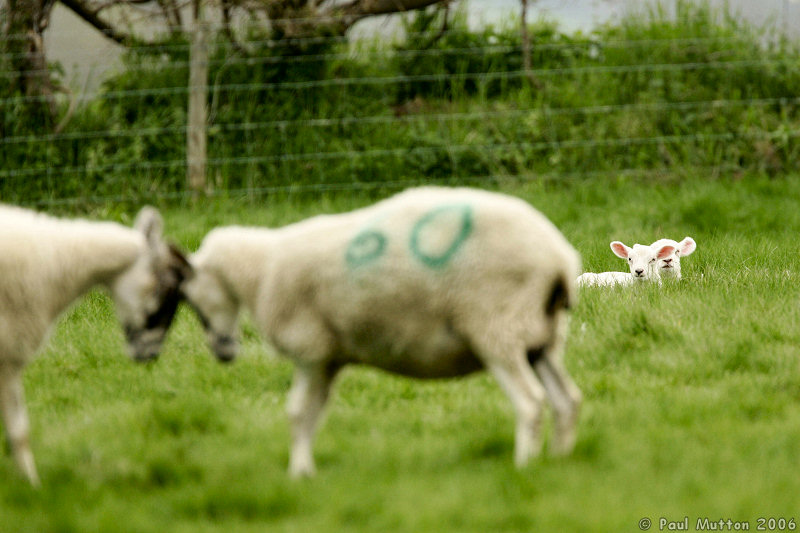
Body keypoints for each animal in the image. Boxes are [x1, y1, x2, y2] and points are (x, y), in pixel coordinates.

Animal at [0, 202, 189, 484]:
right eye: (163, 288)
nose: (150, 355)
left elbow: (19, 433)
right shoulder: (9, 356)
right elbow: (19, 432)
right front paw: (32, 485)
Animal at [177, 185, 580, 476]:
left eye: (192, 302)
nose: (223, 352)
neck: (261, 270)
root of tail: (559, 260)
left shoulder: (310, 350)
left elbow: (296, 412)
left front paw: (298, 475)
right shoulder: (328, 358)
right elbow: (311, 414)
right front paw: (305, 470)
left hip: (498, 329)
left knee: (531, 402)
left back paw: (524, 467)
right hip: (541, 337)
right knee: (566, 400)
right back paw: (560, 462)